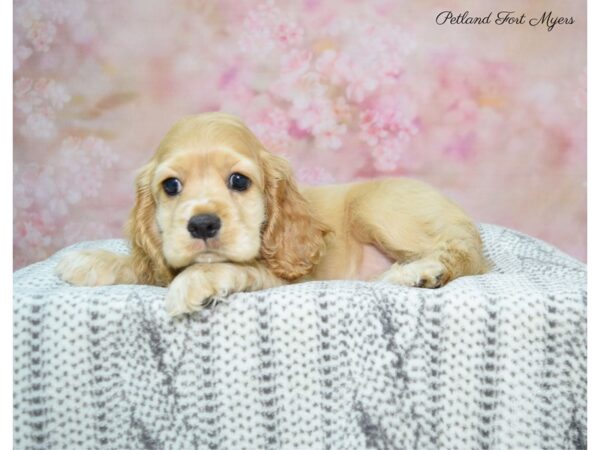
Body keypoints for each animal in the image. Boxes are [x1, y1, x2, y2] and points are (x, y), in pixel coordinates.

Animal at [55, 112, 488, 316]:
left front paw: (196, 281)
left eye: (239, 181)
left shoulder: (284, 275)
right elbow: (148, 265)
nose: (203, 224)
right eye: (171, 186)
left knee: (464, 254)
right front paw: (93, 261)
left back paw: (417, 273)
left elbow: (235, 267)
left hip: (377, 207)